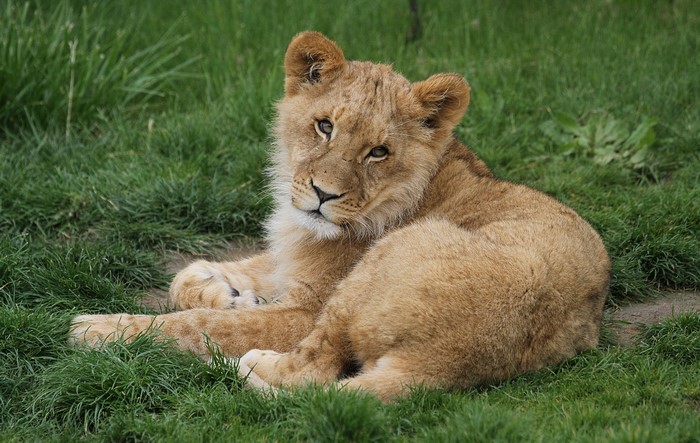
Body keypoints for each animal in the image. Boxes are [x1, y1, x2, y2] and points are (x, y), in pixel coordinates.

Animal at [70, 31, 611, 402]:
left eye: (378, 152)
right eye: (324, 126)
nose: (322, 195)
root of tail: (445, 364)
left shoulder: (307, 308)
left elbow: (196, 326)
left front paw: (98, 330)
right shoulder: (290, 259)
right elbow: (189, 276)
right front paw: (228, 294)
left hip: (385, 262)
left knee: (315, 370)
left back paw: (252, 367)